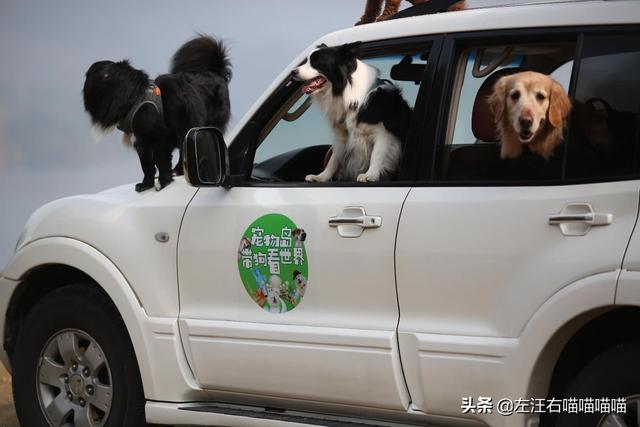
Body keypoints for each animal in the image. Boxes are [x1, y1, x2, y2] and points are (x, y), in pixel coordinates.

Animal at [84, 35, 230, 192]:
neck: (135, 99)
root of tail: (214, 71)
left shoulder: (160, 139)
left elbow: (160, 163)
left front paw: (163, 182)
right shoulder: (142, 143)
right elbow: (147, 166)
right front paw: (145, 185)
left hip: (197, 127)